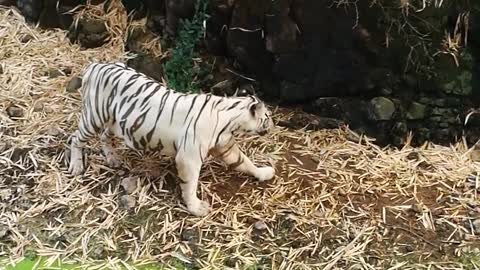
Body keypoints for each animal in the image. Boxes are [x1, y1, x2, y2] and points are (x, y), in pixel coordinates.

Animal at [69, 62, 276, 216]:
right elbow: (191, 184)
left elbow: (244, 162)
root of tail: (96, 65)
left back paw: (113, 158)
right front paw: (196, 208)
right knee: (75, 138)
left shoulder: (226, 146)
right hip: (94, 116)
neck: (230, 119)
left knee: (105, 136)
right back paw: (77, 166)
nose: (273, 124)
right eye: (267, 116)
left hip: (115, 122)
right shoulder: (189, 158)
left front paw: (263, 172)